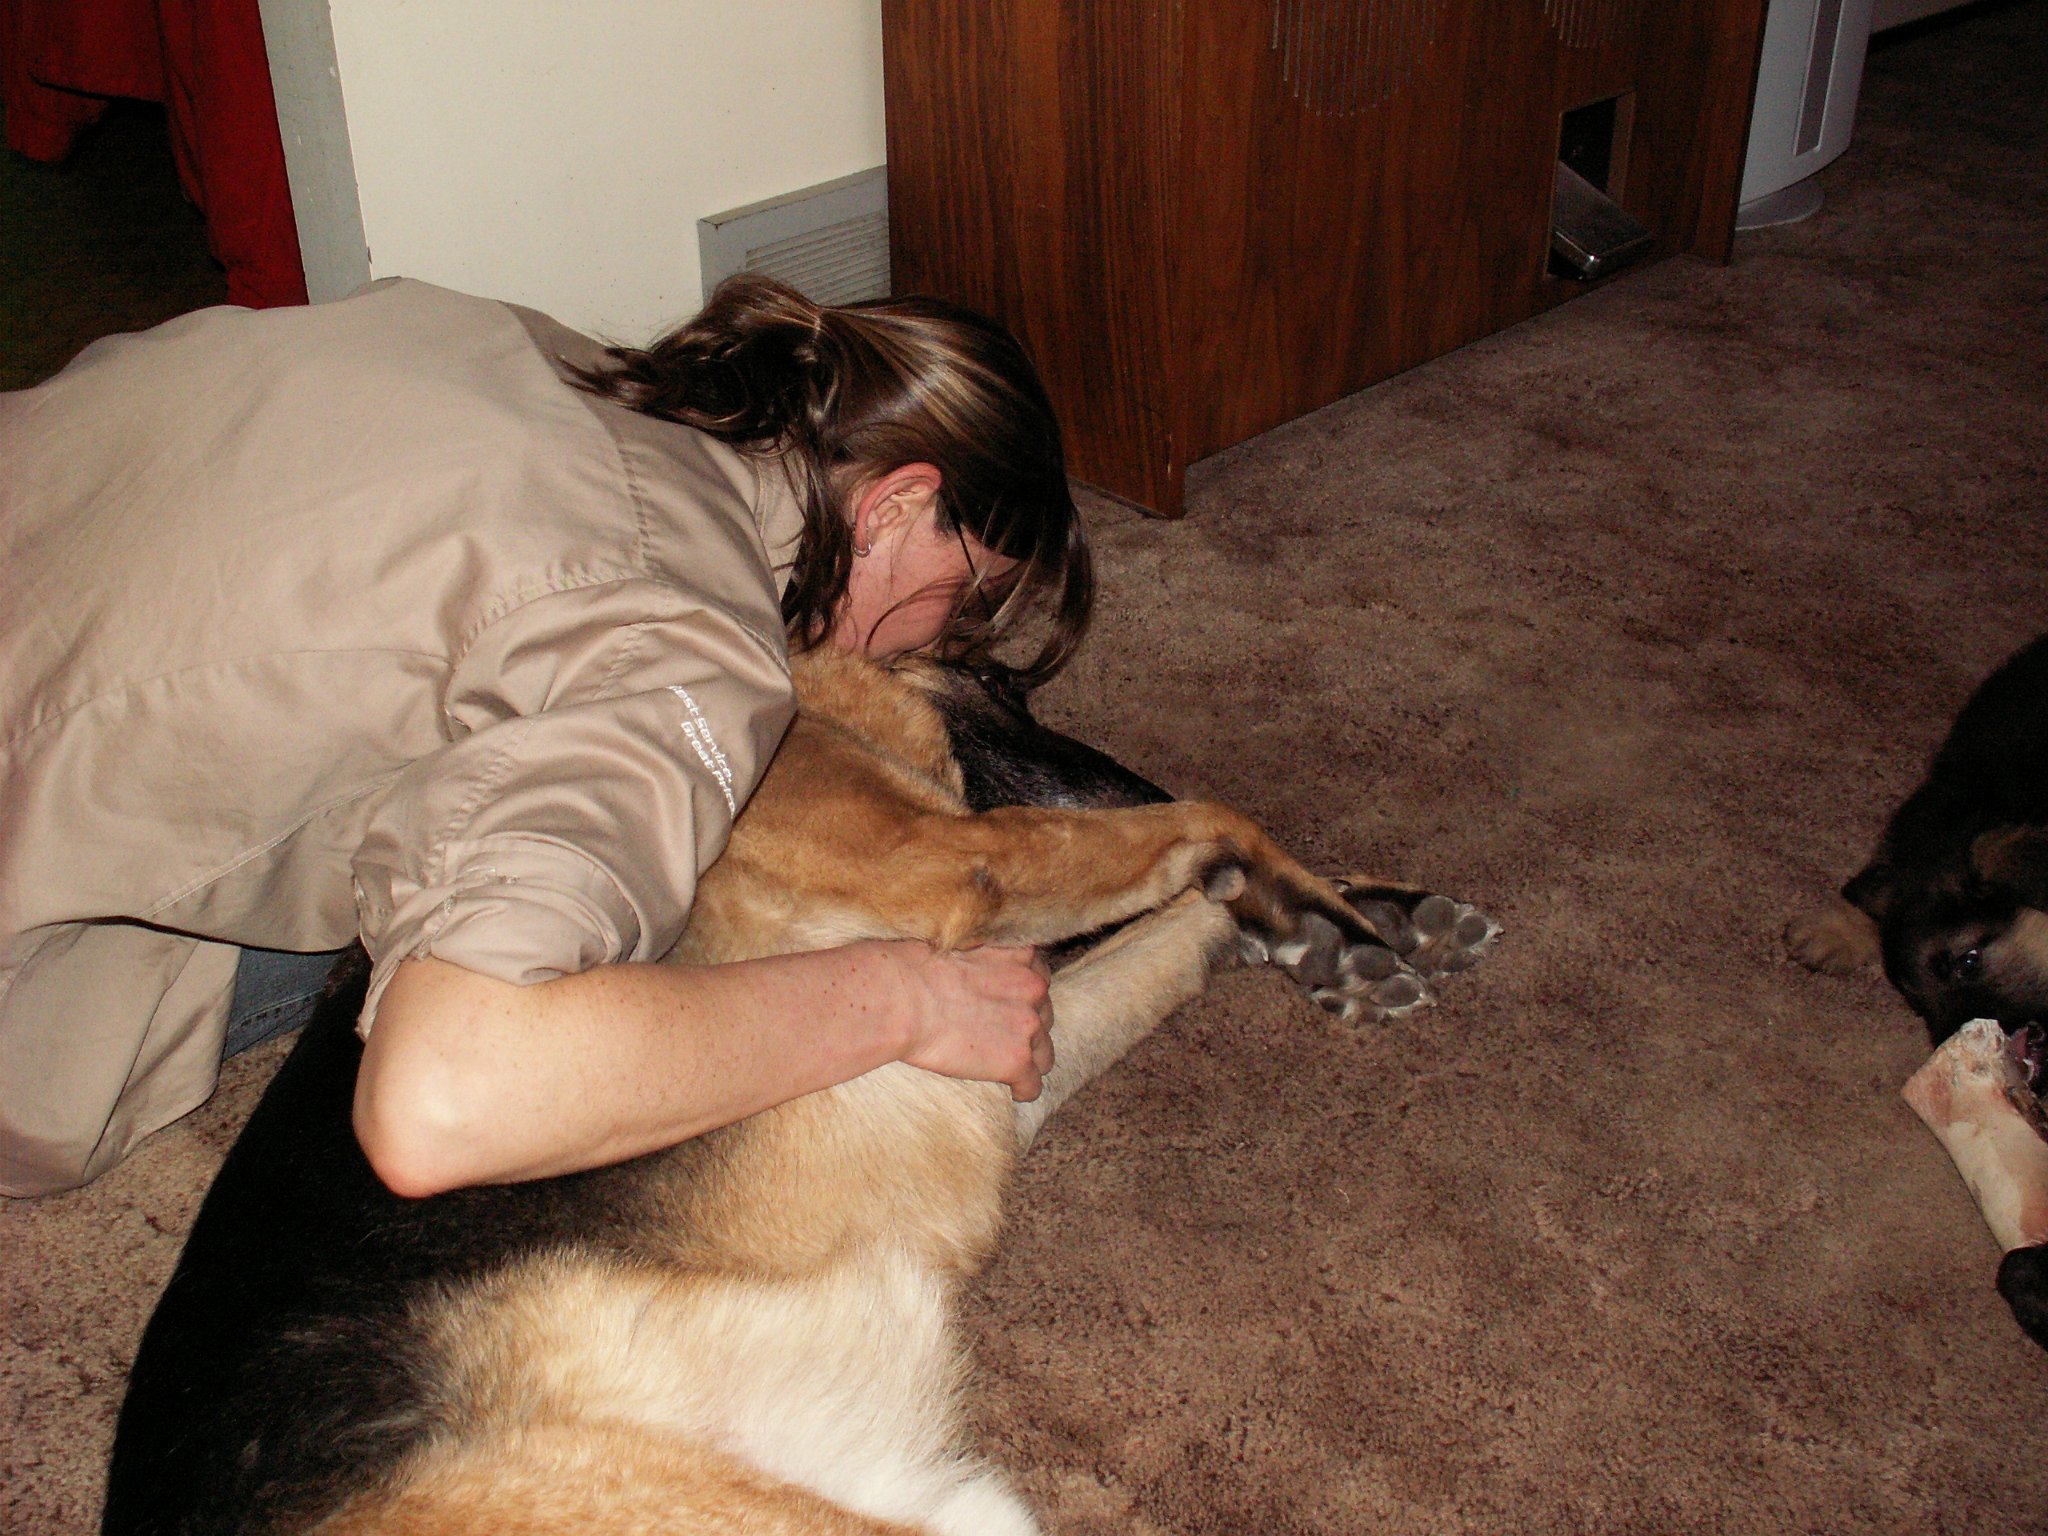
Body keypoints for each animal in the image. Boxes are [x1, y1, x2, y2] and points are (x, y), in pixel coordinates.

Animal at [103, 648, 1500, 1535]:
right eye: (1003, 684)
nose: (1134, 777)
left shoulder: (1012, 1055)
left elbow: (1180, 917)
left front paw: (1346, 924)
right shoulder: (962, 860)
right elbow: (1223, 819)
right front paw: (1316, 906)